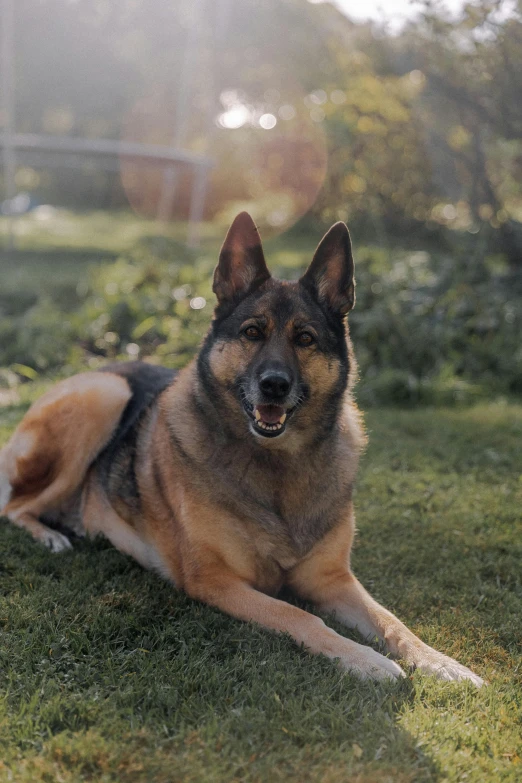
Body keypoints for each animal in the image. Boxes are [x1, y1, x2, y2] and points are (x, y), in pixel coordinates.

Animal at [0, 214, 482, 688]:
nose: (274, 384)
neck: (277, 464)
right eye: (252, 332)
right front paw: (366, 660)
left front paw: (440, 661)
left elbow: (392, 620)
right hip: (105, 396)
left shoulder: (332, 579)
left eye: (305, 339)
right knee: (15, 506)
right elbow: (301, 616)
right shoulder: (215, 580)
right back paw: (52, 536)